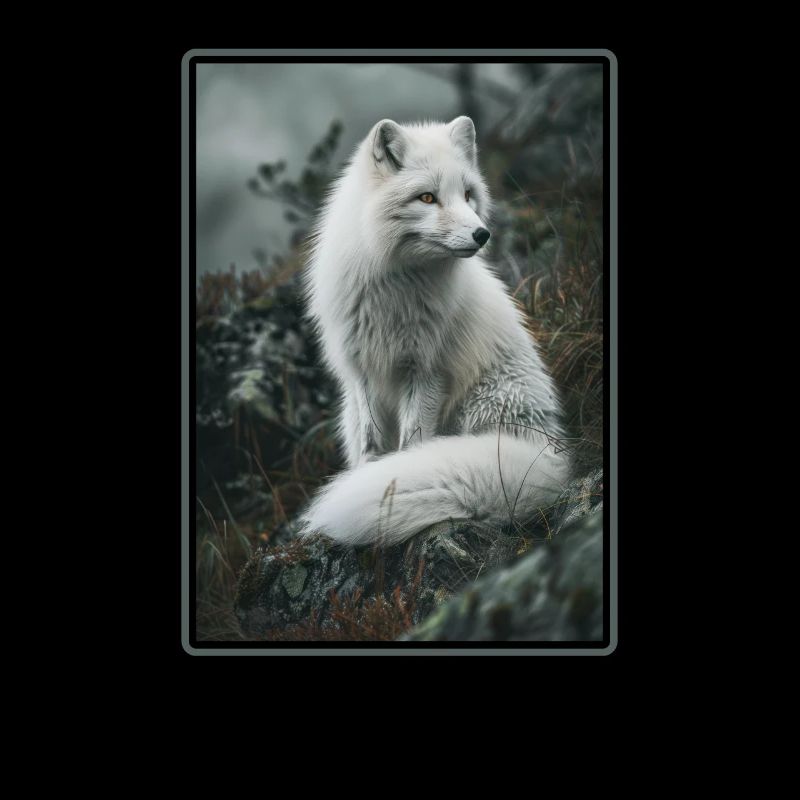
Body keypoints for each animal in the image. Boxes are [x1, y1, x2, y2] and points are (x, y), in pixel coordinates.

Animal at [299, 116, 572, 546]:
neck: (395, 288)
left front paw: (391, 477)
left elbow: (412, 444)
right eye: (427, 198)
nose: (482, 234)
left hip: (481, 407)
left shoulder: (427, 370)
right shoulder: (361, 370)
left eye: (468, 194)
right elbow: (371, 443)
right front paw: (368, 473)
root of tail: (549, 453)